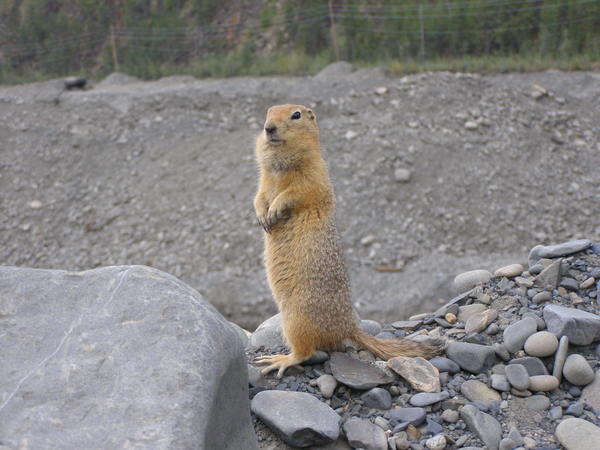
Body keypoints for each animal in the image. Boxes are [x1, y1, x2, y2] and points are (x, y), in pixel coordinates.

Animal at [253, 104, 446, 376]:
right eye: (267, 112)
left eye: (296, 115)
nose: (268, 128)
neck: (280, 163)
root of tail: (348, 327)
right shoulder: (263, 181)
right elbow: (259, 196)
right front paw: (262, 213)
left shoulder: (313, 177)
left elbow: (297, 193)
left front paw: (275, 208)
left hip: (296, 317)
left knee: (306, 351)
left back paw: (280, 360)